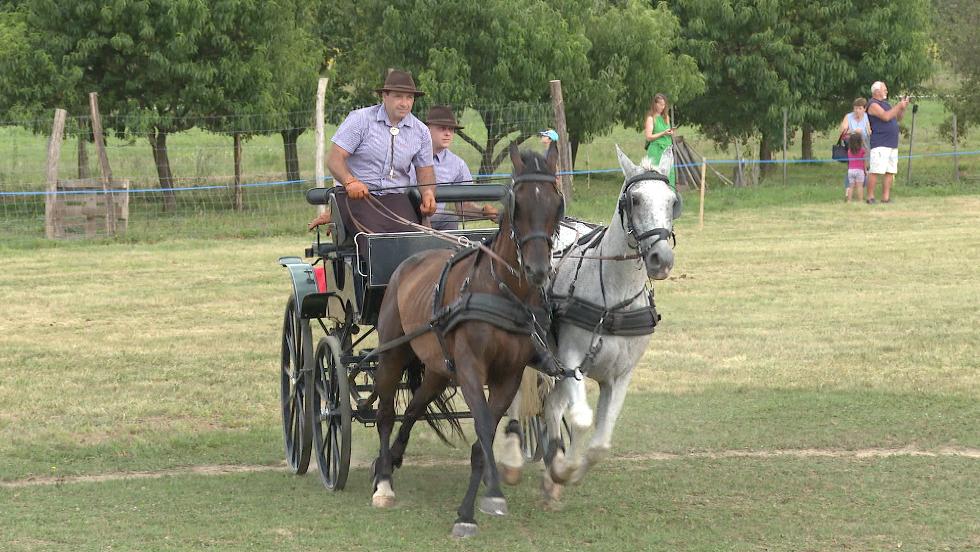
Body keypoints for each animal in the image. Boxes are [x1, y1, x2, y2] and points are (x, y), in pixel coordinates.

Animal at [370, 141, 568, 536]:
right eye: (517, 204)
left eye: (557, 204)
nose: (538, 269)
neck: (503, 292)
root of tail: (409, 261)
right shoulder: (472, 370)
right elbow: (481, 426)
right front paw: (485, 500)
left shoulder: (508, 377)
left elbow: (484, 440)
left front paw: (474, 506)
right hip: (392, 354)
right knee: (385, 414)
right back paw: (383, 481)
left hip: (436, 368)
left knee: (413, 408)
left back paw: (393, 458)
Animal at [498, 143, 680, 504]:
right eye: (634, 199)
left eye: (672, 201)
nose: (661, 260)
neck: (614, 297)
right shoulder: (571, 362)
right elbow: (581, 420)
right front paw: (564, 469)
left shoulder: (620, 375)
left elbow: (600, 443)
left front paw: (564, 473)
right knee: (518, 399)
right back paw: (513, 459)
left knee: (551, 406)